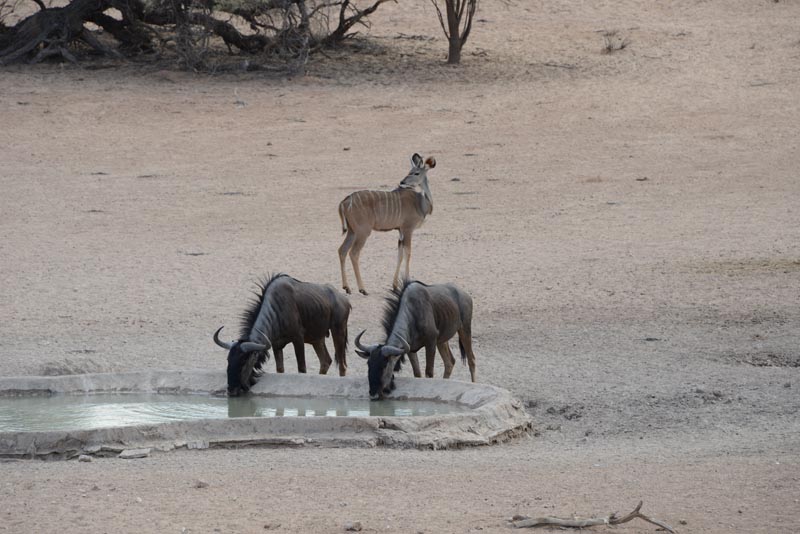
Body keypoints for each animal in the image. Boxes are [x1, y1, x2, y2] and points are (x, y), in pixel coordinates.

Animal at [338, 153, 438, 298]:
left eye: (416, 173)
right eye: (410, 171)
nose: (402, 182)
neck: (420, 202)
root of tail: (345, 201)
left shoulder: (400, 231)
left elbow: (400, 254)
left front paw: (395, 286)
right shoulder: (408, 229)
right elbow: (408, 252)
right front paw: (407, 282)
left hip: (352, 231)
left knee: (342, 250)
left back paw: (347, 288)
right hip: (363, 231)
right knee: (354, 253)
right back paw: (362, 289)